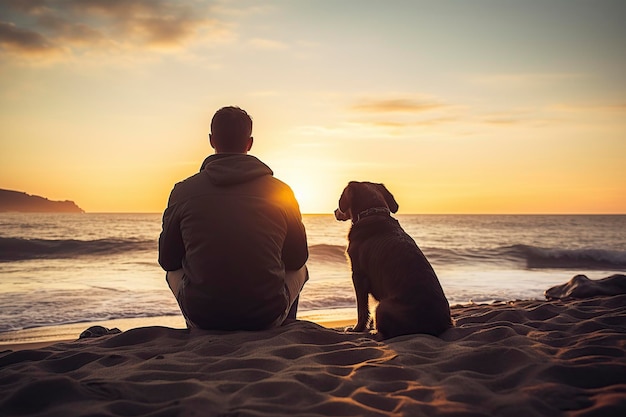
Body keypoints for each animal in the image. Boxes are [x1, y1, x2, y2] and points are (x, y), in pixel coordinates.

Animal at [334, 181, 450, 338]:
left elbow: (362, 309)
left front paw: (357, 328)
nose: (335, 211)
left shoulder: (358, 275)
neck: (373, 213)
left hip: (383, 306)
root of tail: (439, 324)